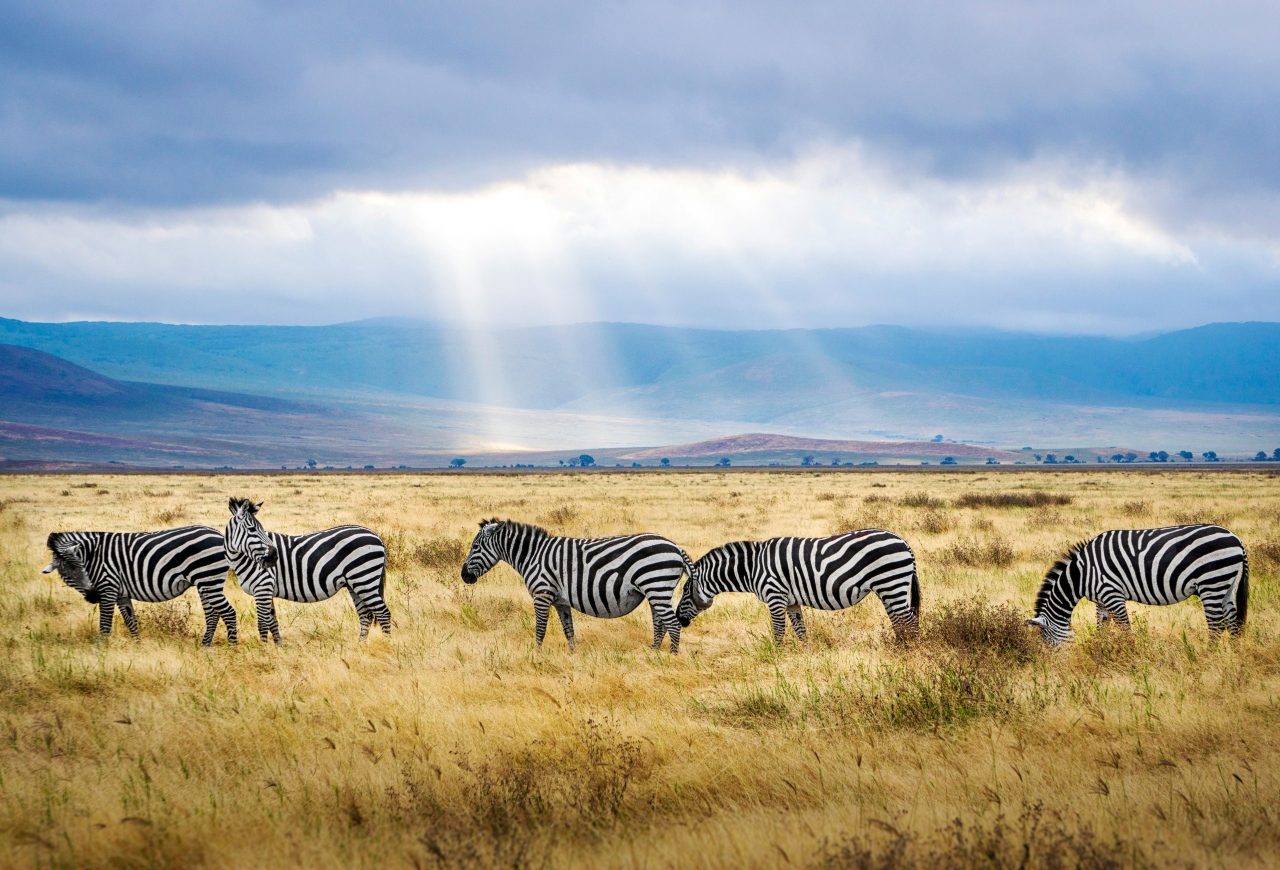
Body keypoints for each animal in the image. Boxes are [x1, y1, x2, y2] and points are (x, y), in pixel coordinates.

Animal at [43, 524, 238, 644]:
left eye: (81, 567)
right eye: (66, 575)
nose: (93, 596)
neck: (94, 556)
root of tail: (219, 534)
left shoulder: (108, 588)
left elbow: (105, 625)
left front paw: (100, 653)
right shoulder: (121, 594)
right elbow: (131, 621)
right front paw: (137, 646)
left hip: (208, 579)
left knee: (228, 613)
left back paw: (232, 648)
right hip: (205, 582)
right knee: (212, 614)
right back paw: (206, 647)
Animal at [222, 493, 389, 642]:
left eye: (261, 529)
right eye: (252, 530)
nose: (274, 556)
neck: (245, 559)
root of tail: (376, 536)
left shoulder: (263, 587)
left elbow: (263, 624)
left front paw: (264, 650)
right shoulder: (267, 590)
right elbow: (273, 623)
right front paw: (278, 648)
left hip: (364, 579)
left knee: (383, 613)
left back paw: (387, 643)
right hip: (355, 584)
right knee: (366, 615)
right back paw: (361, 645)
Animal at [460, 516, 696, 652]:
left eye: (475, 546)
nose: (464, 576)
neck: (533, 555)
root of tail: (675, 547)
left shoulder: (542, 594)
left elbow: (540, 628)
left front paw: (536, 655)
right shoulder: (561, 601)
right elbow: (569, 629)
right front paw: (572, 655)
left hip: (656, 585)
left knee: (672, 624)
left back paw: (671, 657)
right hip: (655, 590)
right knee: (660, 623)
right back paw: (653, 652)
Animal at [680, 527, 921, 642]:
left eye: (684, 591)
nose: (680, 620)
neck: (752, 568)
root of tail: (904, 542)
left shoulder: (775, 596)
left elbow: (779, 632)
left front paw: (777, 659)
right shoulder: (791, 602)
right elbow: (800, 631)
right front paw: (806, 657)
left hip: (891, 582)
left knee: (910, 620)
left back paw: (911, 651)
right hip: (887, 588)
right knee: (899, 621)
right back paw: (899, 648)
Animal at [1029, 524, 1249, 644]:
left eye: (1046, 641)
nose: (1053, 665)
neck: (1082, 574)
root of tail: (1236, 539)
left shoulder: (1112, 594)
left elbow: (1125, 629)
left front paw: (1131, 655)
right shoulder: (1101, 600)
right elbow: (1102, 626)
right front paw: (1100, 650)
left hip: (1211, 582)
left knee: (1216, 625)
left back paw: (1207, 658)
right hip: (1225, 585)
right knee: (1232, 621)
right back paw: (1234, 658)